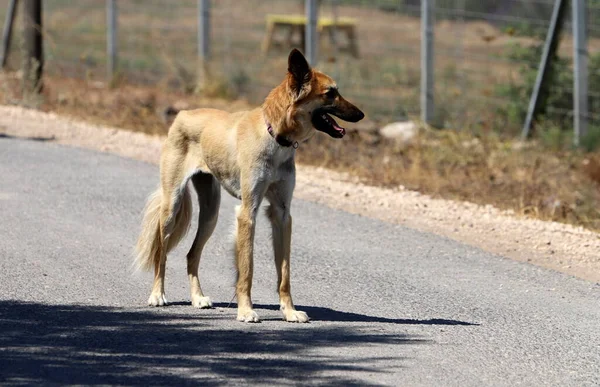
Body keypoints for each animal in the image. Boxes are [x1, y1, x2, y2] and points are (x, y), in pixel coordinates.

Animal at [134, 49, 364, 324]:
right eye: (330, 93)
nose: (361, 114)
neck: (276, 139)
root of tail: (183, 113)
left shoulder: (282, 214)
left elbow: (284, 273)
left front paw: (289, 311)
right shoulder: (248, 212)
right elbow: (247, 268)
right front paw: (245, 310)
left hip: (210, 214)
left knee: (192, 254)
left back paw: (198, 298)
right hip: (172, 205)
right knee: (161, 253)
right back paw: (157, 295)